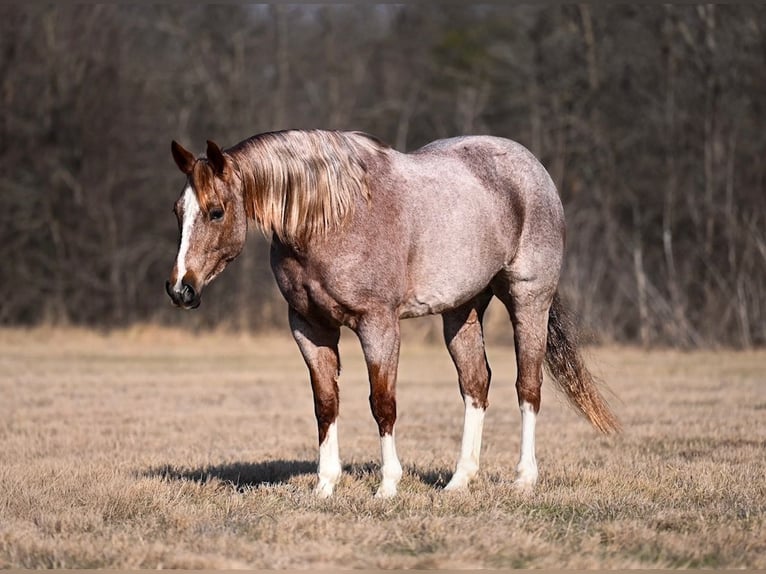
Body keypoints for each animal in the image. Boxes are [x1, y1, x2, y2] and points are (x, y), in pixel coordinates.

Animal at [166, 130, 619, 498]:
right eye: (178, 211)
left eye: (216, 211)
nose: (180, 289)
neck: (331, 219)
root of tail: (534, 170)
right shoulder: (310, 328)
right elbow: (325, 404)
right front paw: (324, 485)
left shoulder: (377, 325)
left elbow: (382, 403)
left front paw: (387, 486)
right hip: (462, 309)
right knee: (475, 384)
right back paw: (459, 481)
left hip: (528, 300)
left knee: (528, 386)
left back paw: (524, 478)